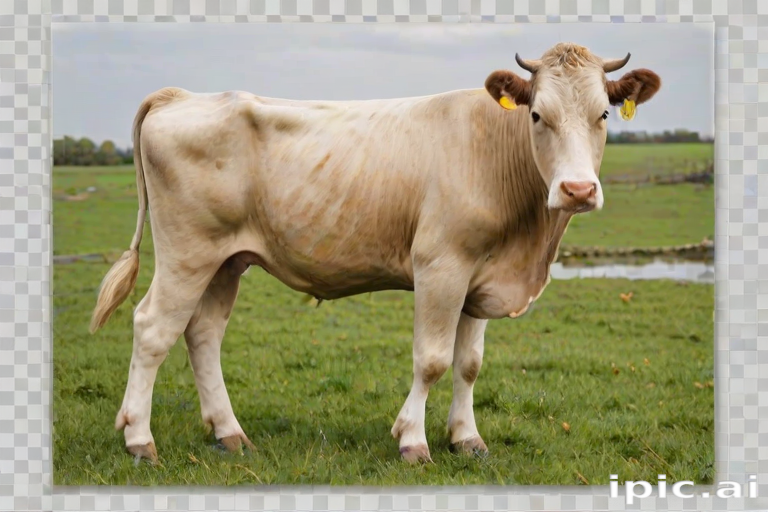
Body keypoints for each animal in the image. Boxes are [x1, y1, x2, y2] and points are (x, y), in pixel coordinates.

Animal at [89, 42, 660, 464]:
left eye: (603, 113)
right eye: (538, 114)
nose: (577, 190)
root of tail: (181, 95)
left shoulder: (481, 277)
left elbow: (469, 364)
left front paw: (467, 439)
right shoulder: (441, 265)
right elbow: (432, 360)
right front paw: (414, 441)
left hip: (226, 260)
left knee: (203, 333)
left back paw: (229, 434)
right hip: (187, 252)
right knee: (153, 328)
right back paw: (140, 441)